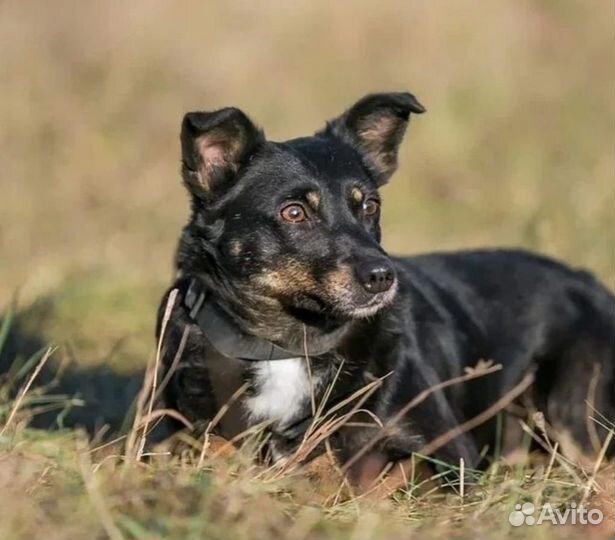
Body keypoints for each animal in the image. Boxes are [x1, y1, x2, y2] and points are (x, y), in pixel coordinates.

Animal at [158, 90, 615, 488]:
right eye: (294, 213)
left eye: (370, 206)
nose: (382, 276)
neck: (290, 342)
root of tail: (590, 282)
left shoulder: (450, 455)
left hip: (574, 410)